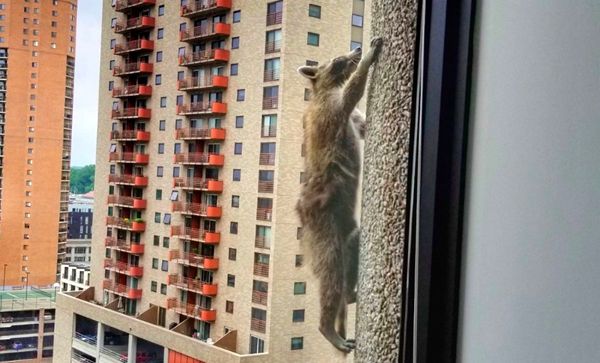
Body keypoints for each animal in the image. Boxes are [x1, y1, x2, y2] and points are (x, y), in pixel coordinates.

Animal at [296, 37, 384, 352]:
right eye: (337, 60)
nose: (355, 50)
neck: (321, 89)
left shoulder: (347, 116)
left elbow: (362, 124)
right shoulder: (331, 109)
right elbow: (353, 92)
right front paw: (368, 59)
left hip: (344, 228)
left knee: (352, 245)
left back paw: (350, 294)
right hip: (323, 231)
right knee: (331, 277)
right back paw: (326, 327)